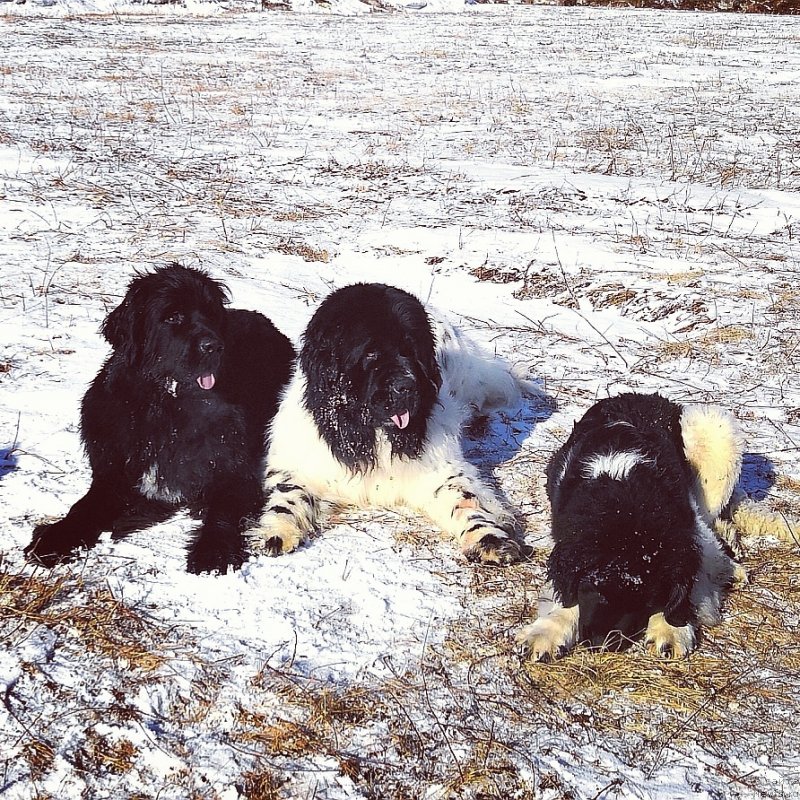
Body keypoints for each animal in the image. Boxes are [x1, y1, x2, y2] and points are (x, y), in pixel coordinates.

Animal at [25, 266, 296, 572]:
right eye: (173, 317)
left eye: (211, 314)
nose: (214, 346)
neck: (167, 407)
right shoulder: (114, 471)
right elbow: (84, 507)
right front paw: (52, 539)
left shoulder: (235, 469)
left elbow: (223, 510)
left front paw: (213, 551)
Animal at [247, 284, 528, 564]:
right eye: (371, 353)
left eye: (412, 350)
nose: (407, 387)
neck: (370, 432)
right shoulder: (297, 463)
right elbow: (288, 494)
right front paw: (277, 531)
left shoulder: (440, 468)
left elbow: (464, 500)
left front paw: (489, 538)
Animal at [516, 390, 748, 660]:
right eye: (595, 590)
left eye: (645, 602)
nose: (601, 643)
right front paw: (547, 630)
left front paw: (671, 627)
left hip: (714, 428)